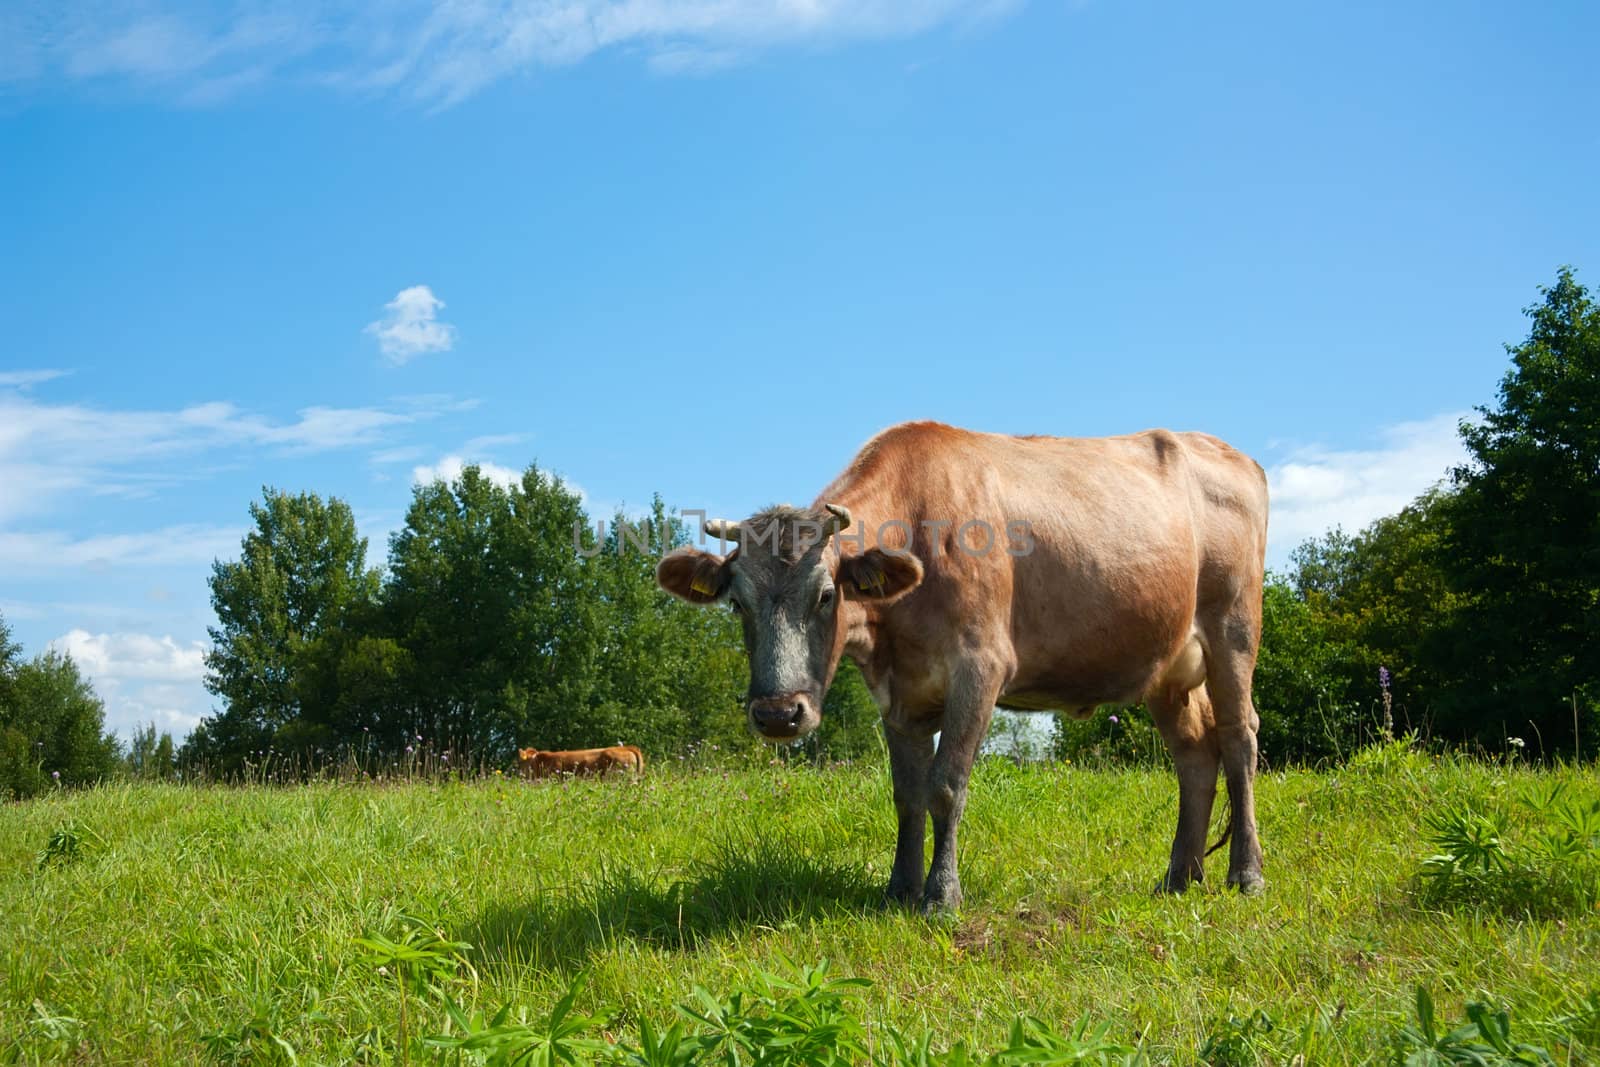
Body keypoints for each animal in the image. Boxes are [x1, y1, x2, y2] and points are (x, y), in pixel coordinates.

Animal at [656, 422, 1267, 915]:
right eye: (738, 603)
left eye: (827, 595)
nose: (779, 714)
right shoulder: (898, 693)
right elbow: (907, 793)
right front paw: (898, 889)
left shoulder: (980, 667)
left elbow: (947, 785)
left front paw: (940, 896)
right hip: (1167, 666)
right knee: (1195, 753)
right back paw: (1179, 877)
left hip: (1234, 628)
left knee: (1238, 739)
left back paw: (1246, 874)